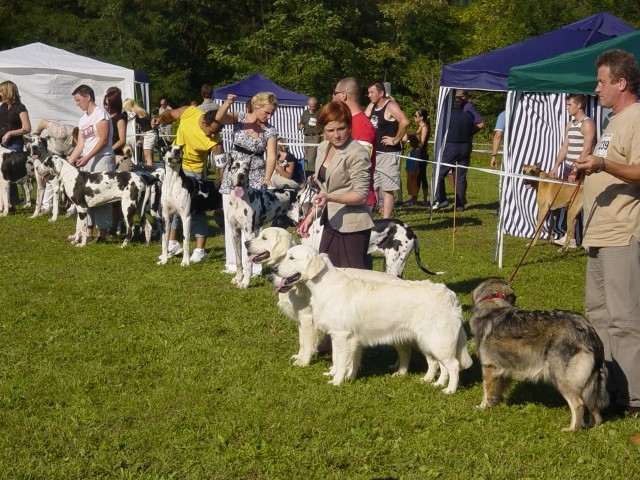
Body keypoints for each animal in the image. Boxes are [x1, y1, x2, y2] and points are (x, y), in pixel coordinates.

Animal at [228, 156, 298, 286]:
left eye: (246, 169)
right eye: (234, 167)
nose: (240, 176)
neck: (237, 200)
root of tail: (294, 192)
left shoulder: (249, 233)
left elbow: (247, 262)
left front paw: (245, 282)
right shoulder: (235, 233)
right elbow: (238, 259)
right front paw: (238, 278)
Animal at [272, 244, 472, 390]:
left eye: (291, 257)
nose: (273, 269)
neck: (325, 285)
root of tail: (450, 295)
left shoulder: (341, 335)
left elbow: (340, 360)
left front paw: (336, 381)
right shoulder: (350, 339)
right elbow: (347, 360)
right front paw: (348, 376)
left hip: (437, 339)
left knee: (453, 365)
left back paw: (449, 390)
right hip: (427, 341)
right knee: (437, 363)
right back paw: (433, 382)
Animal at [470, 278, 608, 432]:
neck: (493, 304)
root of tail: (589, 330)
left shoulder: (488, 366)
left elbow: (486, 390)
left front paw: (482, 407)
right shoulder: (505, 370)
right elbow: (499, 391)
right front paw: (496, 403)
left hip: (560, 378)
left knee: (578, 404)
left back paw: (571, 429)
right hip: (587, 383)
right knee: (594, 408)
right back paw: (592, 427)